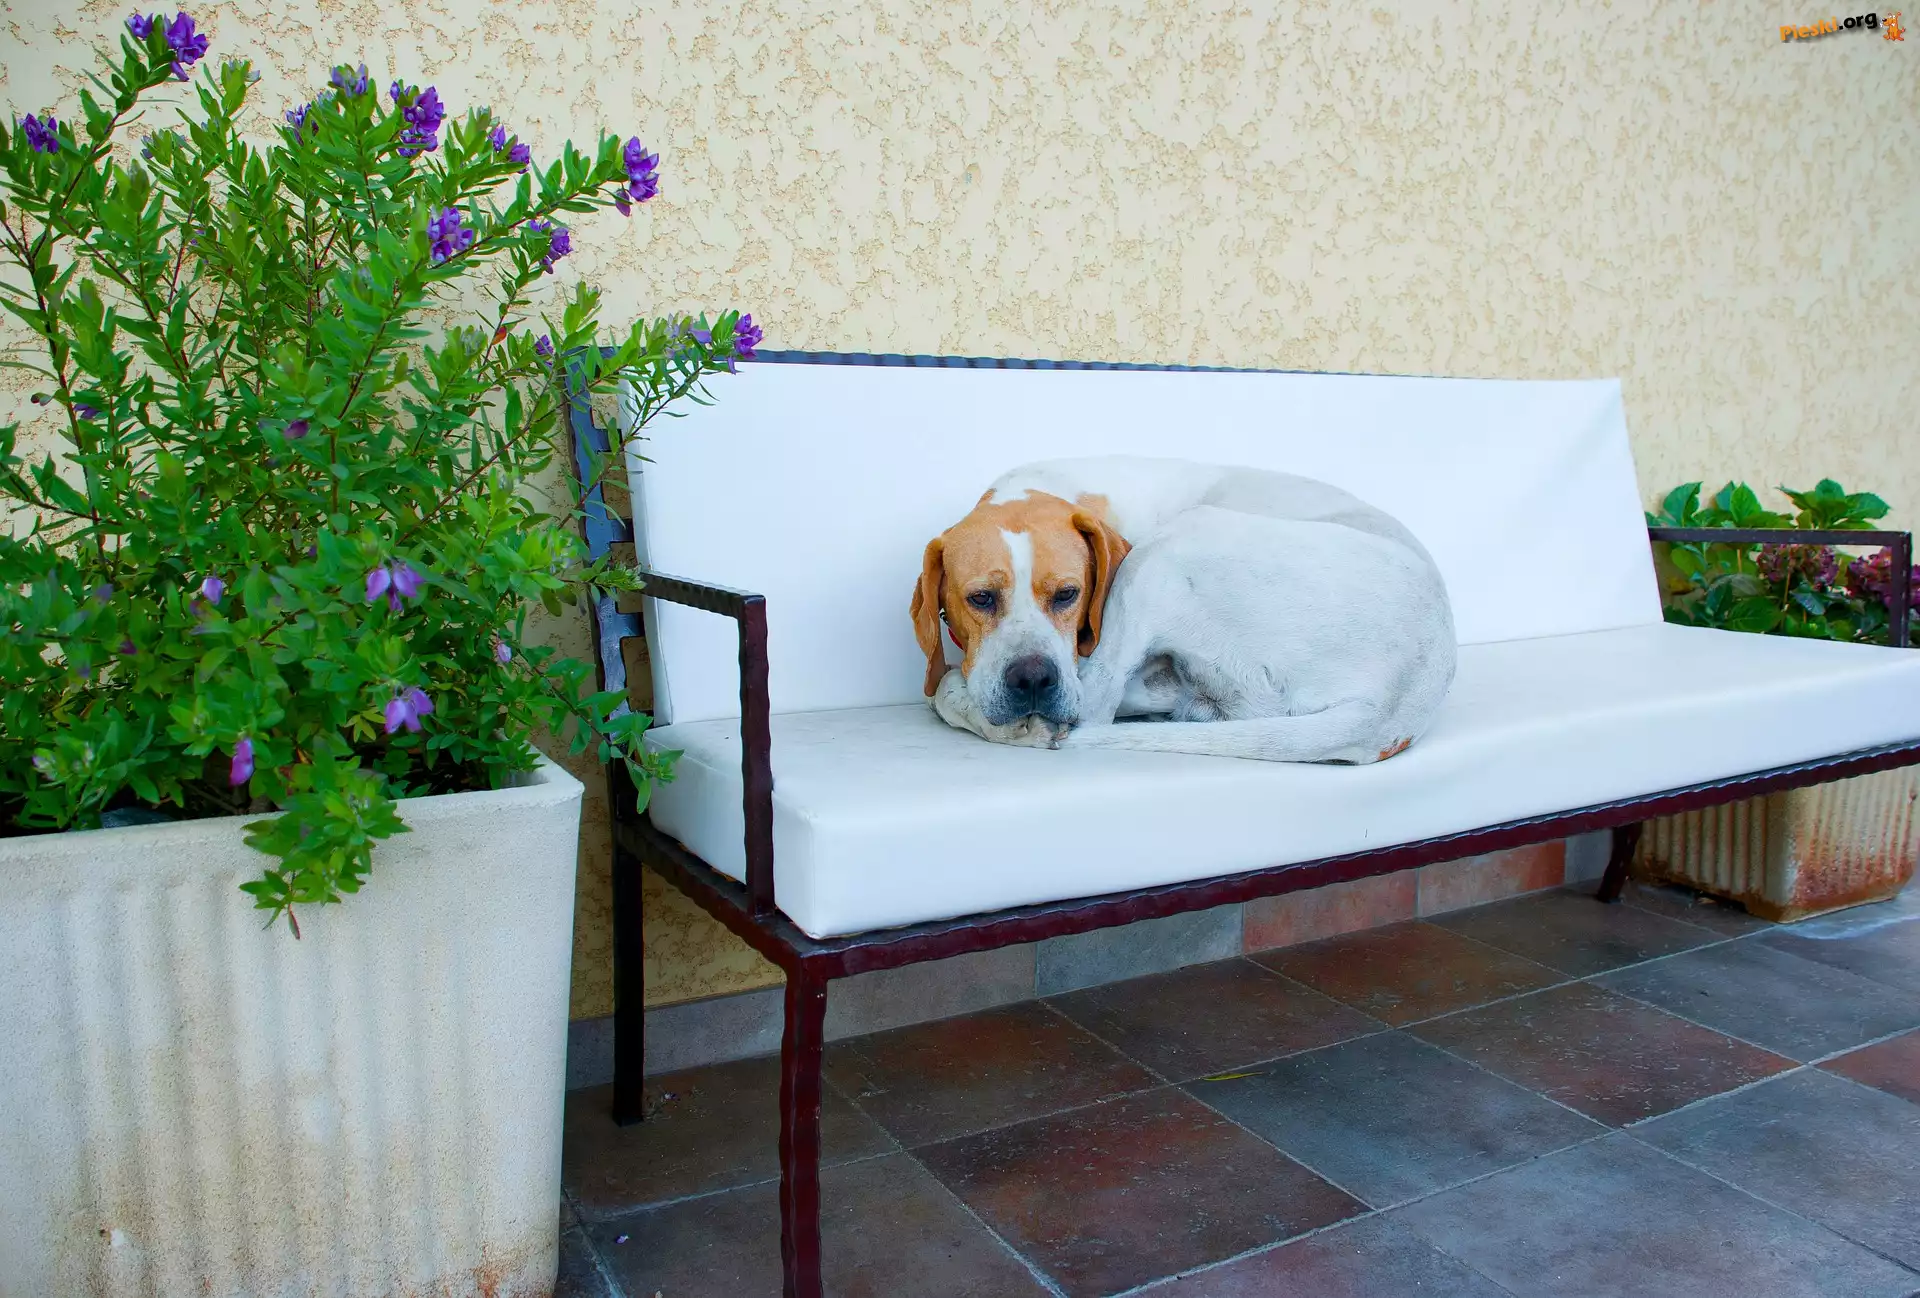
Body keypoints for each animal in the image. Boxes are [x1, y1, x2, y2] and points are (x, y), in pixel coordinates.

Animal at [910, 456, 1457, 763]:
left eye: (1068, 594)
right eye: (980, 598)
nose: (1032, 681)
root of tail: (1395, 704)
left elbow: (946, 688)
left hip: (1165, 552)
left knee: (1095, 708)